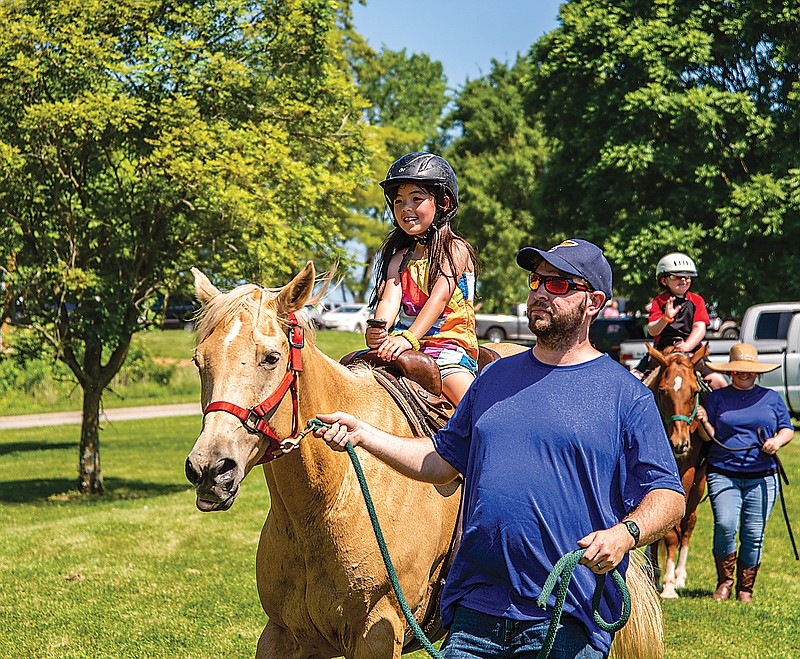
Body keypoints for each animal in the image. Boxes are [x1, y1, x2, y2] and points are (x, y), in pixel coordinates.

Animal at [186, 264, 664, 659]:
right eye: (199, 361)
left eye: (271, 357)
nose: (210, 468)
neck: (332, 498)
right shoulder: (283, 635)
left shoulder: (378, 633)